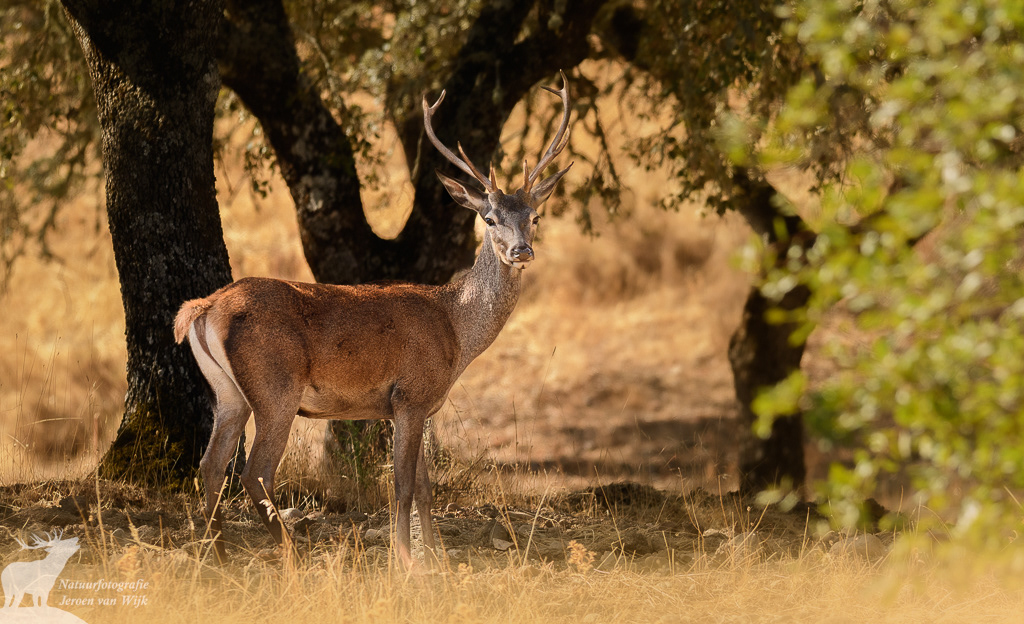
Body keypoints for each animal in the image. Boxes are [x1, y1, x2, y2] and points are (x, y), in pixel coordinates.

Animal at [173, 71, 573, 567]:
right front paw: (405, 561)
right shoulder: (411, 394)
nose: (522, 251)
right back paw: (291, 555)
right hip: (276, 386)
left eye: (534, 216)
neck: (455, 330)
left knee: (211, 466)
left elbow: (424, 489)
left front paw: (435, 558)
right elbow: (401, 487)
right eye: (489, 218)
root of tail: (204, 307)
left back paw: (219, 557)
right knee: (255, 472)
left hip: (227, 392)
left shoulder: (415, 406)